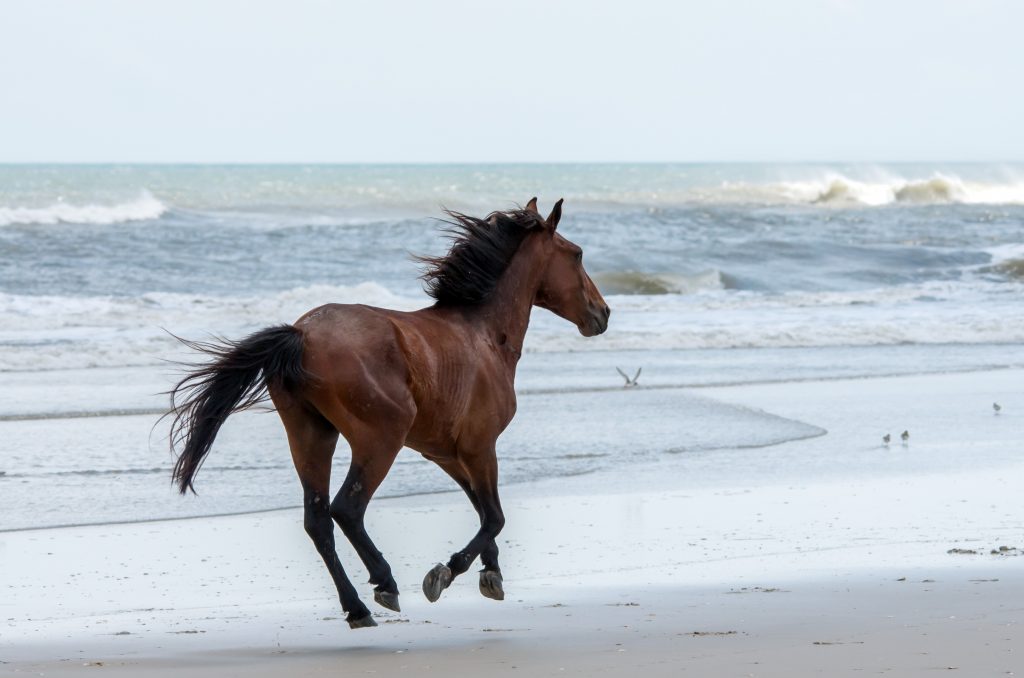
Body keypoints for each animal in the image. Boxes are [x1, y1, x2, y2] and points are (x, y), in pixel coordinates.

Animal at [167, 199, 606, 630]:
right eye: (577, 254)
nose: (603, 314)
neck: (483, 335)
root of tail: (302, 335)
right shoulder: (480, 447)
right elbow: (494, 516)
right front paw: (445, 574)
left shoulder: (448, 453)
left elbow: (484, 511)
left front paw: (491, 574)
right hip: (380, 439)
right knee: (347, 509)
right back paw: (385, 583)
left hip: (311, 436)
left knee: (317, 520)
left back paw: (357, 608)